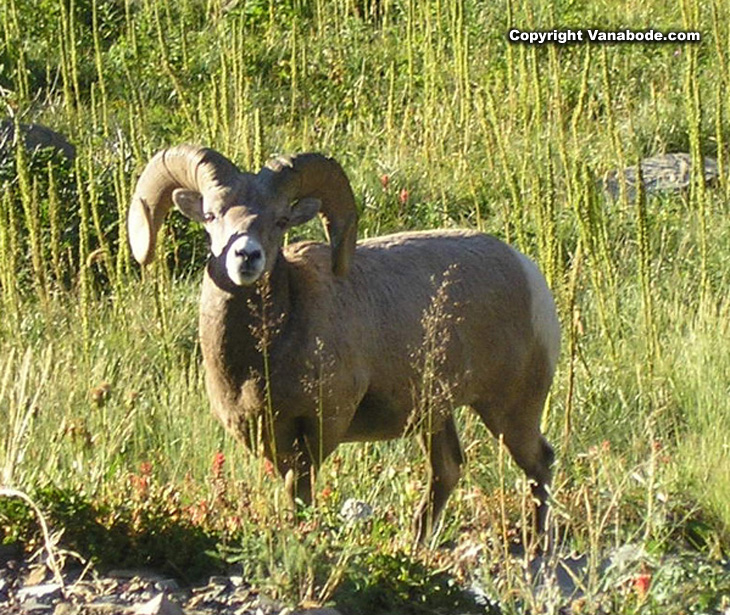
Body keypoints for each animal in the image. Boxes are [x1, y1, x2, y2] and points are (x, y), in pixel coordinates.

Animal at [126, 147, 556, 540]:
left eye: (281, 220)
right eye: (212, 215)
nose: (246, 256)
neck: (257, 359)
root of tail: (528, 273)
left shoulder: (322, 425)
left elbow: (300, 490)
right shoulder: (263, 434)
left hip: (509, 409)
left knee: (539, 463)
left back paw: (536, 545)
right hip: (435, 415)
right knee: (448, 469)